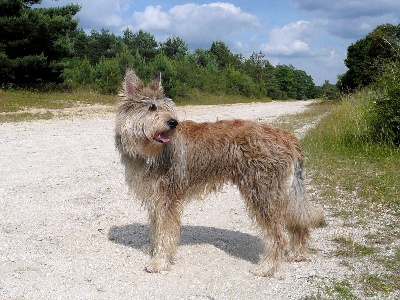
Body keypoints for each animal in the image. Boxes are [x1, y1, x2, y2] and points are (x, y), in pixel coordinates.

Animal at [114, 68, 324, 276]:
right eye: (152, 107)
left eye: (168, 107)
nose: (173, 122)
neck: (148, 150)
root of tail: (289, 137)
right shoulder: (155, 198)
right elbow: (156, 229)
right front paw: (153, 251)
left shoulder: (167, 198)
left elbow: (165, 233)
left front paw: (159, 262)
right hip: (284, 193)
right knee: (298, 222)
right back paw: (298, 254)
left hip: (262, 194)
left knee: (278, 236)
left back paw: (267, 267)